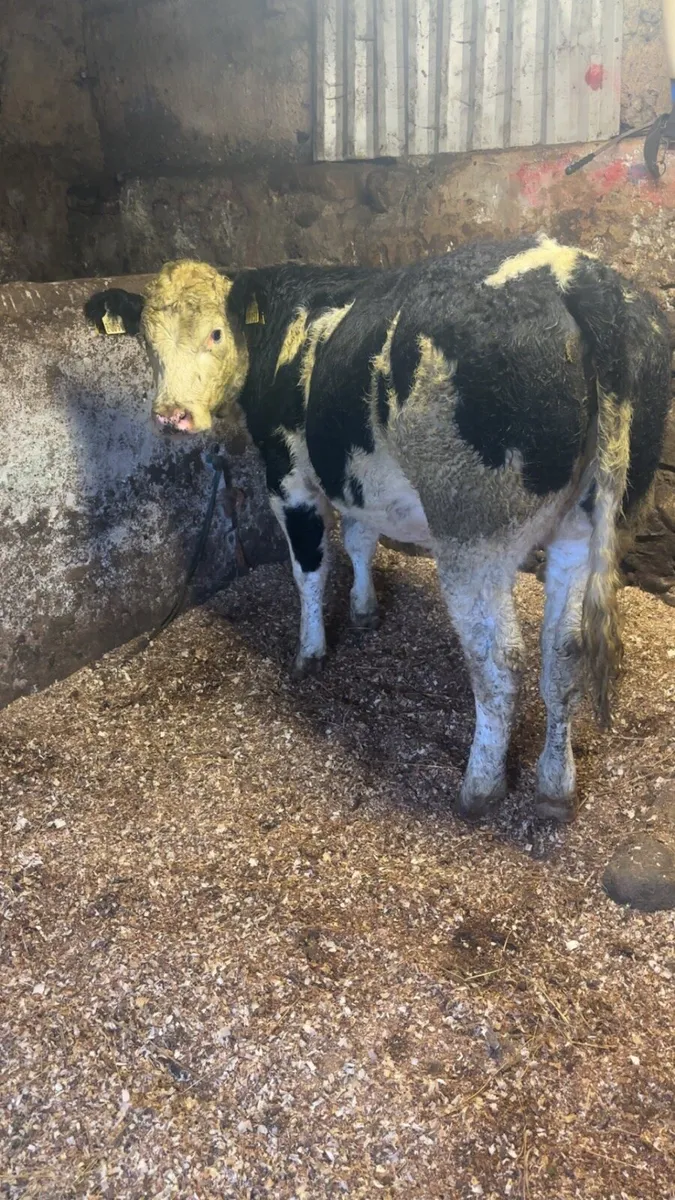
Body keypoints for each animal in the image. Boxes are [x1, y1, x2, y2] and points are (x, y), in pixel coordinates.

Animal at [84, 236, 672, 825]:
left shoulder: (288, 474)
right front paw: (365, 610)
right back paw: (555, 788)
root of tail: (576, 274)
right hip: (585, 530)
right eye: (146, 341)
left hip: (473, 534)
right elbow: (361, 538)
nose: (172, 415)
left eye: (216, 332)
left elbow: (310, 568)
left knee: (499, 663)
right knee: (563, 654)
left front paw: (310, 651)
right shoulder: (353, 474)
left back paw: (479, 788)